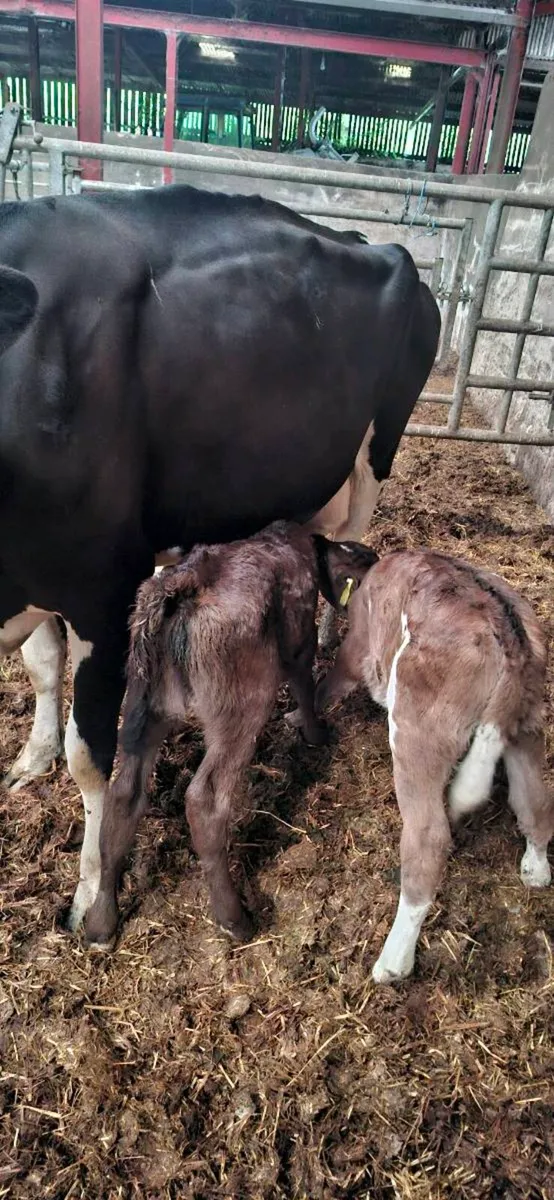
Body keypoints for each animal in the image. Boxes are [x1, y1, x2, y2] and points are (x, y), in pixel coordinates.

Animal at [0, 183, 439, 932]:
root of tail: (372, 240)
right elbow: (40, 665)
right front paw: (33, 758)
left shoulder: (103, 582)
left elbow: (93, 759)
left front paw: (88, 896)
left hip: (373, 457)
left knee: (354, 554)